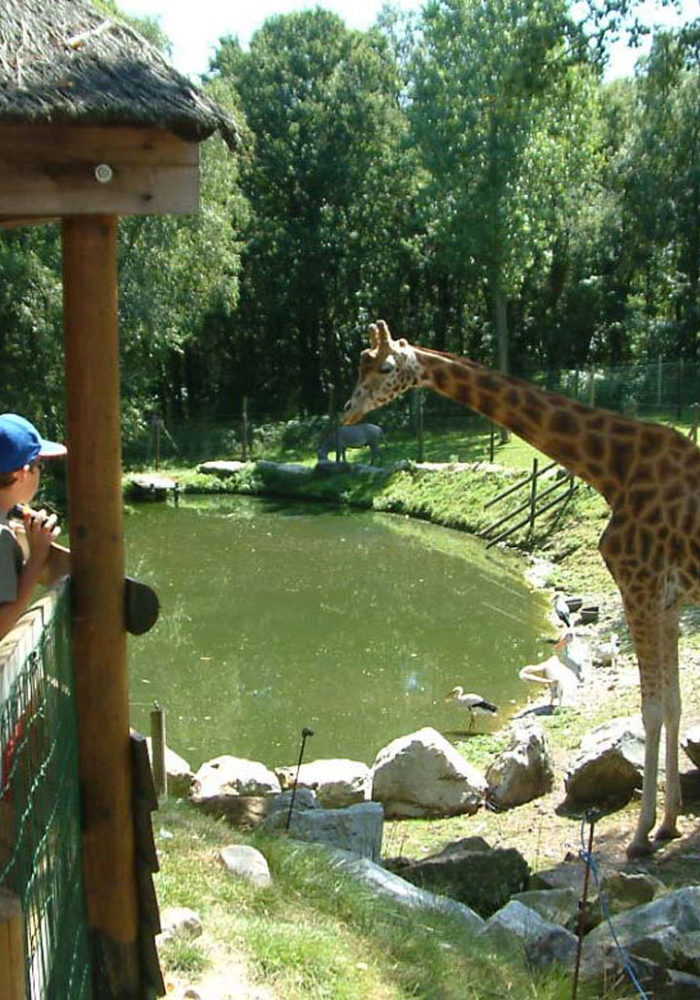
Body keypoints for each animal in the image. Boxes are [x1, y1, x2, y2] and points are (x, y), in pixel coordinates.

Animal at [344, 320, 700, 860]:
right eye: (359, 363)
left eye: (385, 366)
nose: (348, 410)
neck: (614, 468)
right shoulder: (669, 600)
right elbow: (676, 704)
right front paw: (667, 825)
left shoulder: (639, 582)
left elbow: (652, 710)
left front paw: (641, 837)